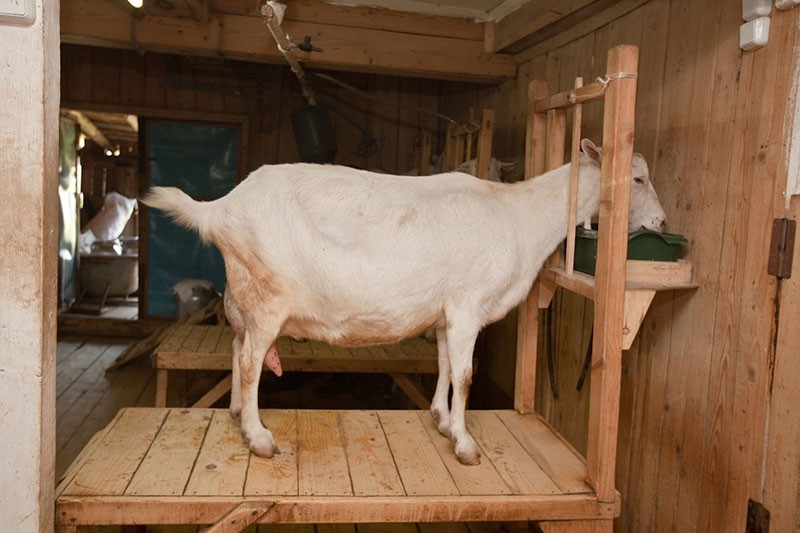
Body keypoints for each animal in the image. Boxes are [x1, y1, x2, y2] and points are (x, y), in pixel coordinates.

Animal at [145, 139, 668, 464]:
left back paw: (237, 414)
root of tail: (220, 208)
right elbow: (466, 373)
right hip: (268, 295)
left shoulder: (444, 313)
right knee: (252, 360)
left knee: (237, 348)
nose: (662, 223)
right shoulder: (467, 305)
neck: (517, 216)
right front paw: (465, 444)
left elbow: (443, 364)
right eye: (638, 178)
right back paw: (258, 437)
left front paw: (441, 419)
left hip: (247, 297)